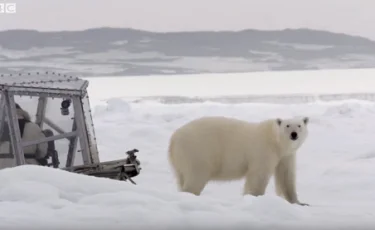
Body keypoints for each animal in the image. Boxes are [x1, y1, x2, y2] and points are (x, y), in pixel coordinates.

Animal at [169, 116, 310, 206]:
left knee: (182, 178)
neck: (276, 142)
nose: (294, 134)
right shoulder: (263, 151)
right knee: (196, 176)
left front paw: (299, 202)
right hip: (197, 151)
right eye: (287, 125)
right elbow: (258, 176)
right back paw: (190, 195)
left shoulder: (286, 155)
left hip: (181, 160)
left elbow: (286, 176)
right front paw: (255, 198)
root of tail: (173, 138)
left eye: (299, 125)